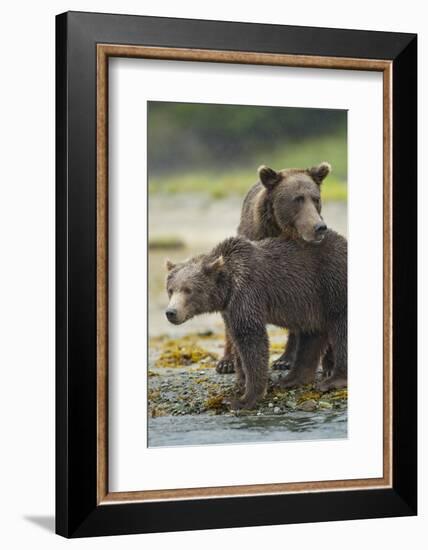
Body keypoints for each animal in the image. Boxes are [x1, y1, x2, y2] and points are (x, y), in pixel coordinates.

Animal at [166, 232, 346, 410]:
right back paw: (291, 379)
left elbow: (251, 339)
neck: (228, 287)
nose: (171, 312)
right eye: (170, 290)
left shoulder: (247, 292)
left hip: (331, 283)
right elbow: (237, 340)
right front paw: (241, 381)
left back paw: (333, 380)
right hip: (312, 303)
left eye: (189, 290)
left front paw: (246, 399)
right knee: (311, 336)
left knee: (340, 328)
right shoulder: (229, 309)